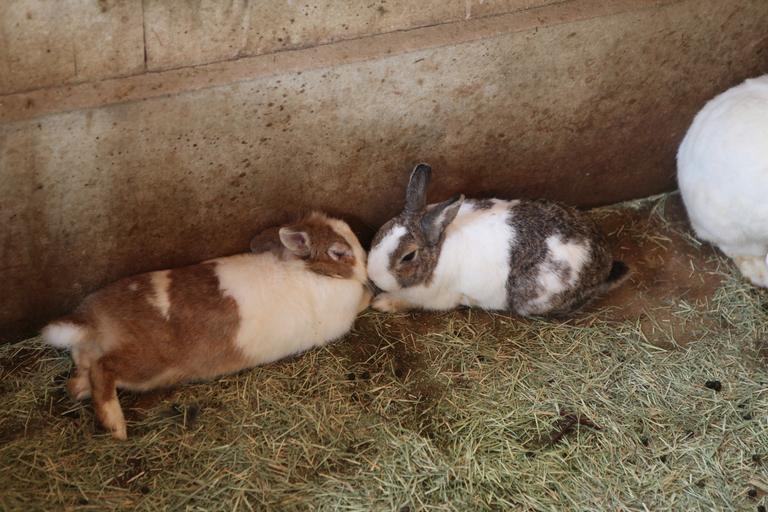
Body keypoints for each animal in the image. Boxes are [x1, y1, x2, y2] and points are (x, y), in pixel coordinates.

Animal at [42, 212, 371, 440]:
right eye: (341, 253)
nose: (366, 260)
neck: (313, 271)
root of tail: (90, 322)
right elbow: (364, 299)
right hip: (143, 364)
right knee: (103, 370)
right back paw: (116, 426)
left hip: (94, 362)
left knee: (79, 383)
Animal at [367, 164, 628, 316]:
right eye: (382, 230)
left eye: (408, 256)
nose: (373, 275)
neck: (439, 249)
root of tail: (604, 264)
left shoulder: (437, 298)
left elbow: (406, 301)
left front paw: (382, 303)